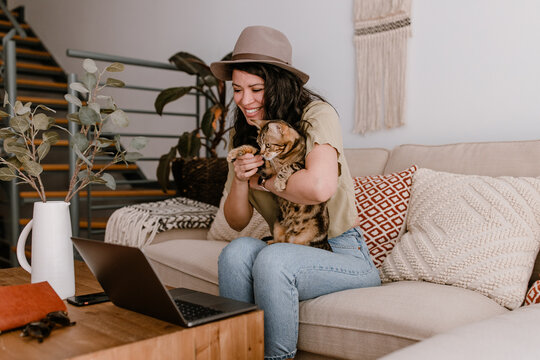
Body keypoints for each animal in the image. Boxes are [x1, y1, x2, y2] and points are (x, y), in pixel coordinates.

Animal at [226, 119, 332, 252]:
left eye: (268, 145)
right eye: (259, 143)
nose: (263, 153)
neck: (281, 157)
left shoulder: (302, 165)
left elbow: (290, 165)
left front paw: (279, 182)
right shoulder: (267, 169)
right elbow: (252, 149)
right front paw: (235, 152)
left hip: (310, 235)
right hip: (277, 226)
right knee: (280, 241)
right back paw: (269, 242)